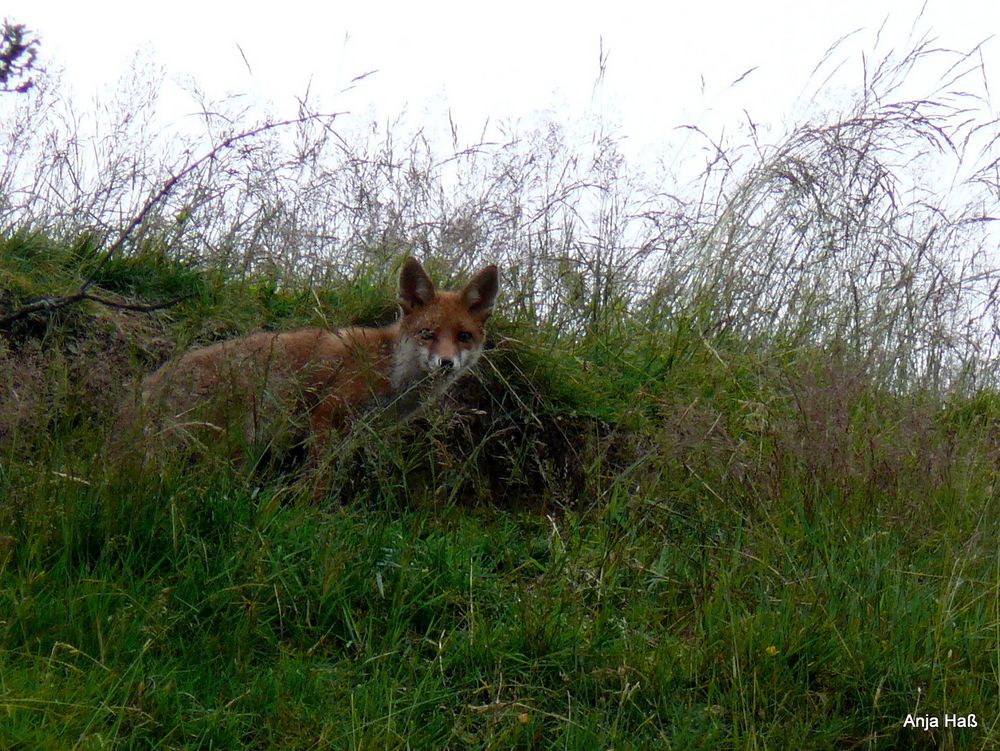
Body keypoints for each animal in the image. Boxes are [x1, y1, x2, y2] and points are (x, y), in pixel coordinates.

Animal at [131, 258, 498, 482]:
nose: (446, 363)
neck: (390, 371)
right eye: (427, 333)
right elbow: (317, 481)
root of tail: (146, 388)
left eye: (463, 336)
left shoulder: (351, 432)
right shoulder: (327, 415)